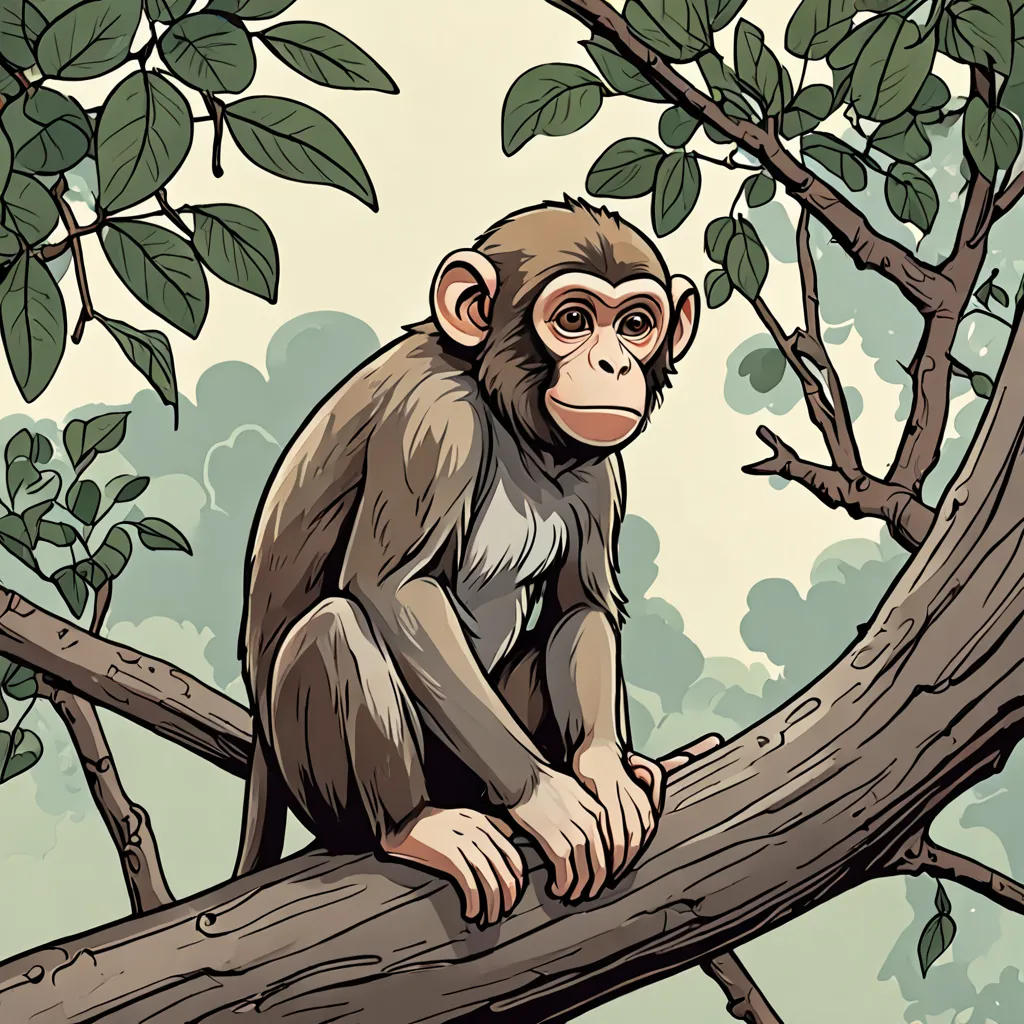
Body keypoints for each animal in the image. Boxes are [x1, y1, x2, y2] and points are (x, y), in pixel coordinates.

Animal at [234, 196, 721, 925]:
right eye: (573, 319)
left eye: (635, 324)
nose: (613, 365)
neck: (504, 412)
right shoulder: (432, 423)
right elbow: (398, 592)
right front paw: (548, 801)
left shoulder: (598, 469)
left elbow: (581, 606)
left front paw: (603, 769)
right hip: (317, 782)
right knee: (337, 628)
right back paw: (413, 825)